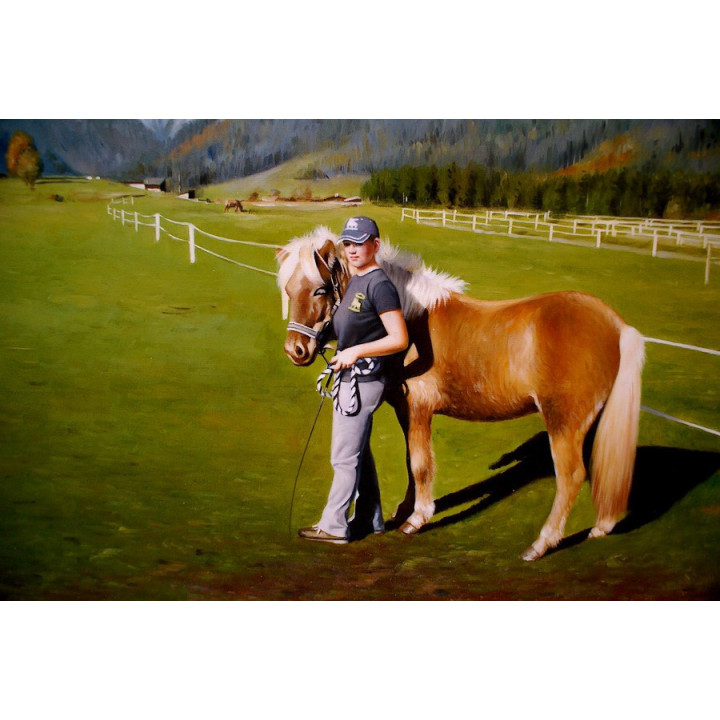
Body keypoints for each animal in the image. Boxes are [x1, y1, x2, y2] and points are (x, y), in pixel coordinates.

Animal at [276, 226, 645, 560]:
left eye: (320, 290)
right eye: (288, 289)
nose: (295, 350)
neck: (408, 322)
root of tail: (617, 326)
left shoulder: (419, 409)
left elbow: (422, 464)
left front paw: (417, 519)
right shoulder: (404, 410)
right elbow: (410, 460)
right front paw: (404, 510)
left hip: (563, 423)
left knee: (571, 477)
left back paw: (541, 544)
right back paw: (601, 526)